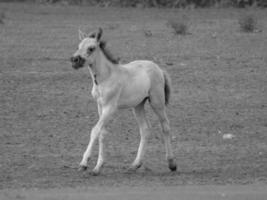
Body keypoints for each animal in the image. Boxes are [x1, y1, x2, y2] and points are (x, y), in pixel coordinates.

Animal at [70, 27, 177, 174]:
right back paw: (135, 164)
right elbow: (102, 133)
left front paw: (84, 163)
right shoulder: (100, 106)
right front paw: (98, 167)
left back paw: (172, 163)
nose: (75, 60)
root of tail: (159, 69)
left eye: (91, 48)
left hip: (157, 102)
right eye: (78, 46)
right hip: (138, 105)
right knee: (145, 129)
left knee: (165, 126)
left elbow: (95, 130)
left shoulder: (110, 107)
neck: (105, 77)